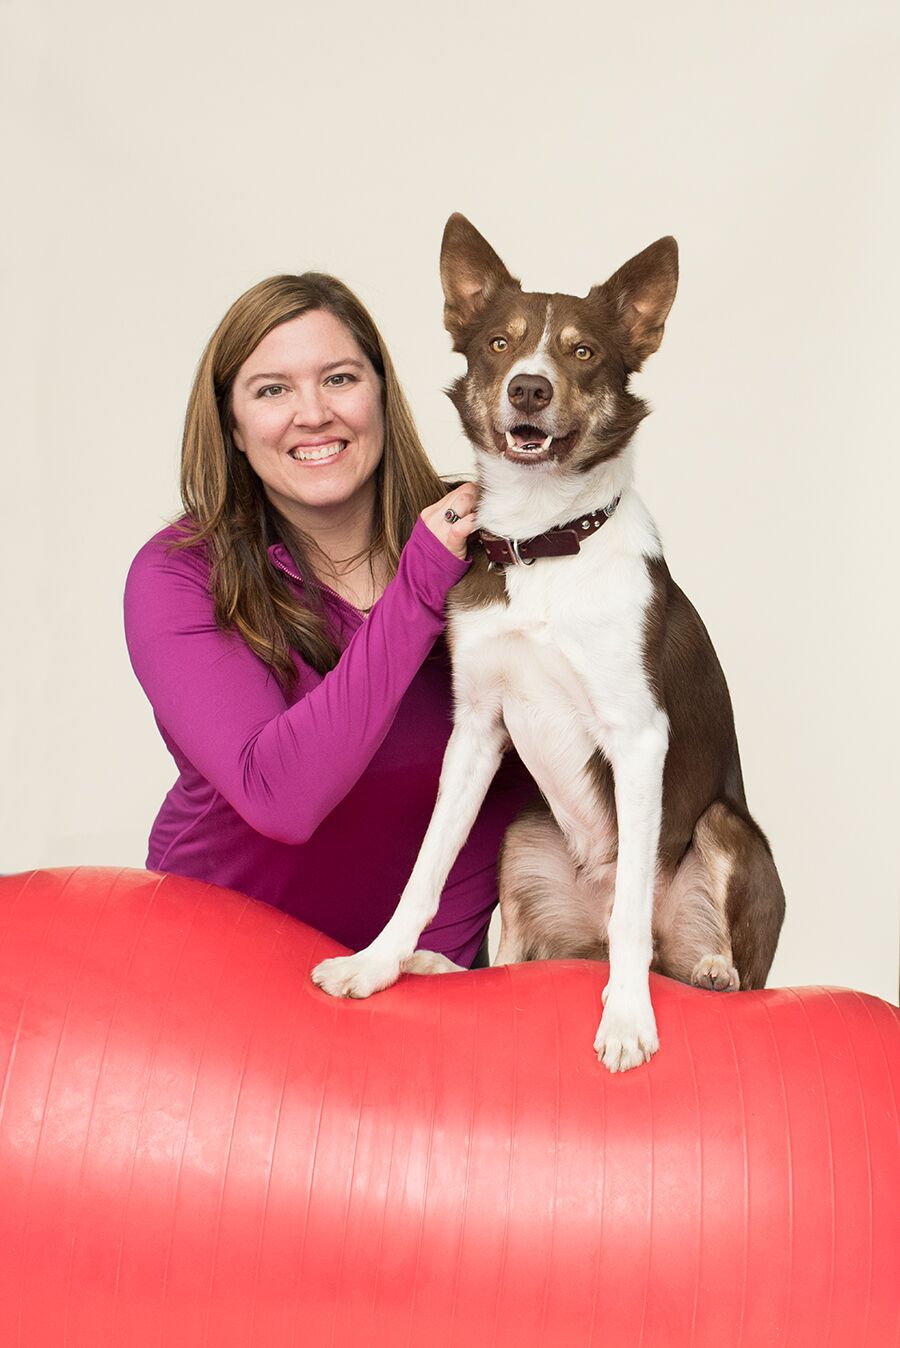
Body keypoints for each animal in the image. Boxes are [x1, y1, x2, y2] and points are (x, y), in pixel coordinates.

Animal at [312, 215, 781, 1067]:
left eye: (583, 351)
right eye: (500, 343)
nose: (528, 388)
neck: (543, 544)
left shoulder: (639, 738)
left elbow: (631, 913)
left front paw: (626, 1018)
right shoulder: (475, 726)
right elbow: (426, 867)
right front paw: (378, 963)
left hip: (726, 830)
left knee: (680, 947)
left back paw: (711, 968)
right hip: (523, 839)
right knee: (520, 959)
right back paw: (440, 966)